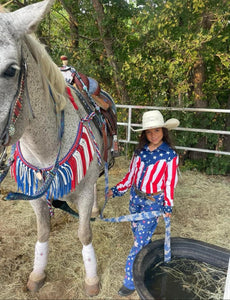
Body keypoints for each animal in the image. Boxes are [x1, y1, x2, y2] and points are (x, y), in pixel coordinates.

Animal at [0, 0, 115, 296]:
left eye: (10, 70)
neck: (46, 148)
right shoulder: (35, 196)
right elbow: (42, 233)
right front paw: (37, 274)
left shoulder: (83, 190)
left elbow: (85, 233)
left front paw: (92, 280)